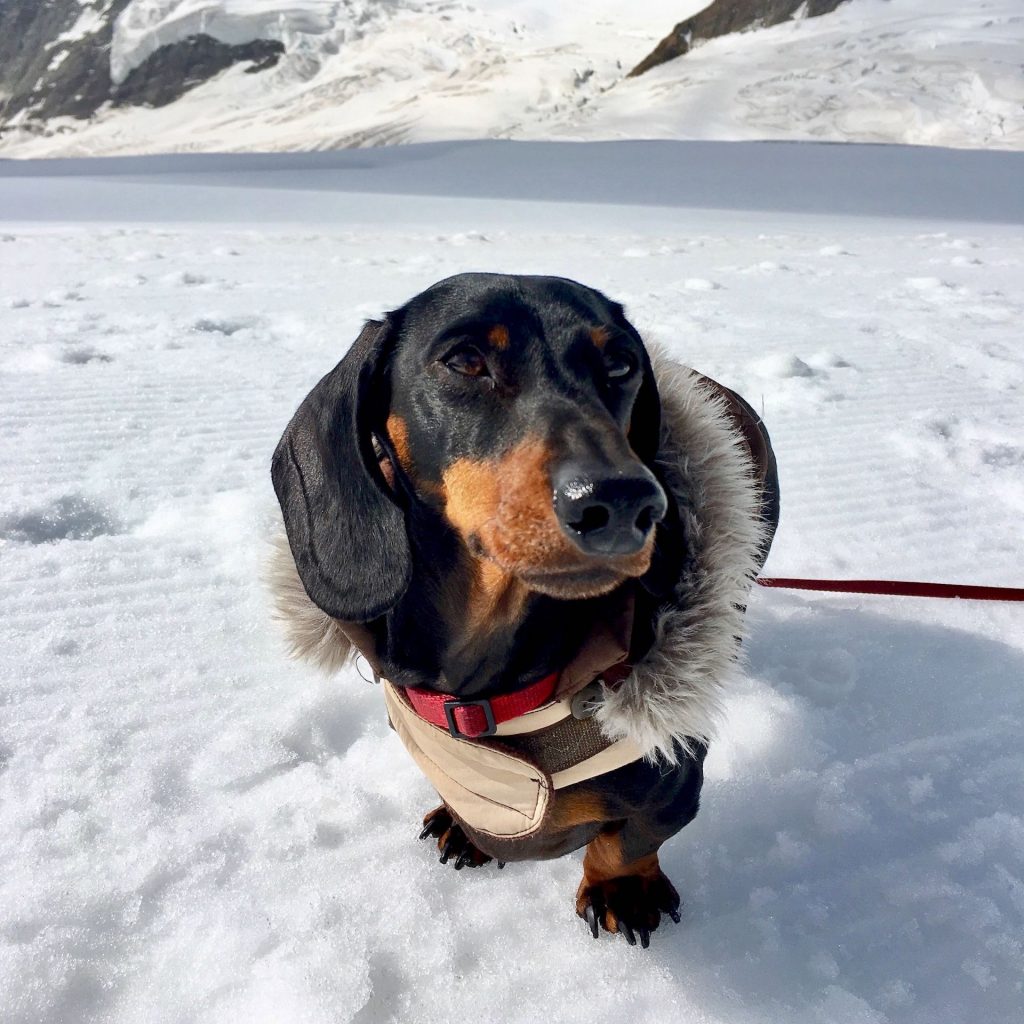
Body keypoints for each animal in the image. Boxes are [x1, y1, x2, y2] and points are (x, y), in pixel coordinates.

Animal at [268, 270, 778, 942]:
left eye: (620, 363)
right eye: (464, 361)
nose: (625, 501)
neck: (489, 689)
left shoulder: (675, 784)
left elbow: (631, 839)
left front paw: (621, 888)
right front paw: (463, 824)